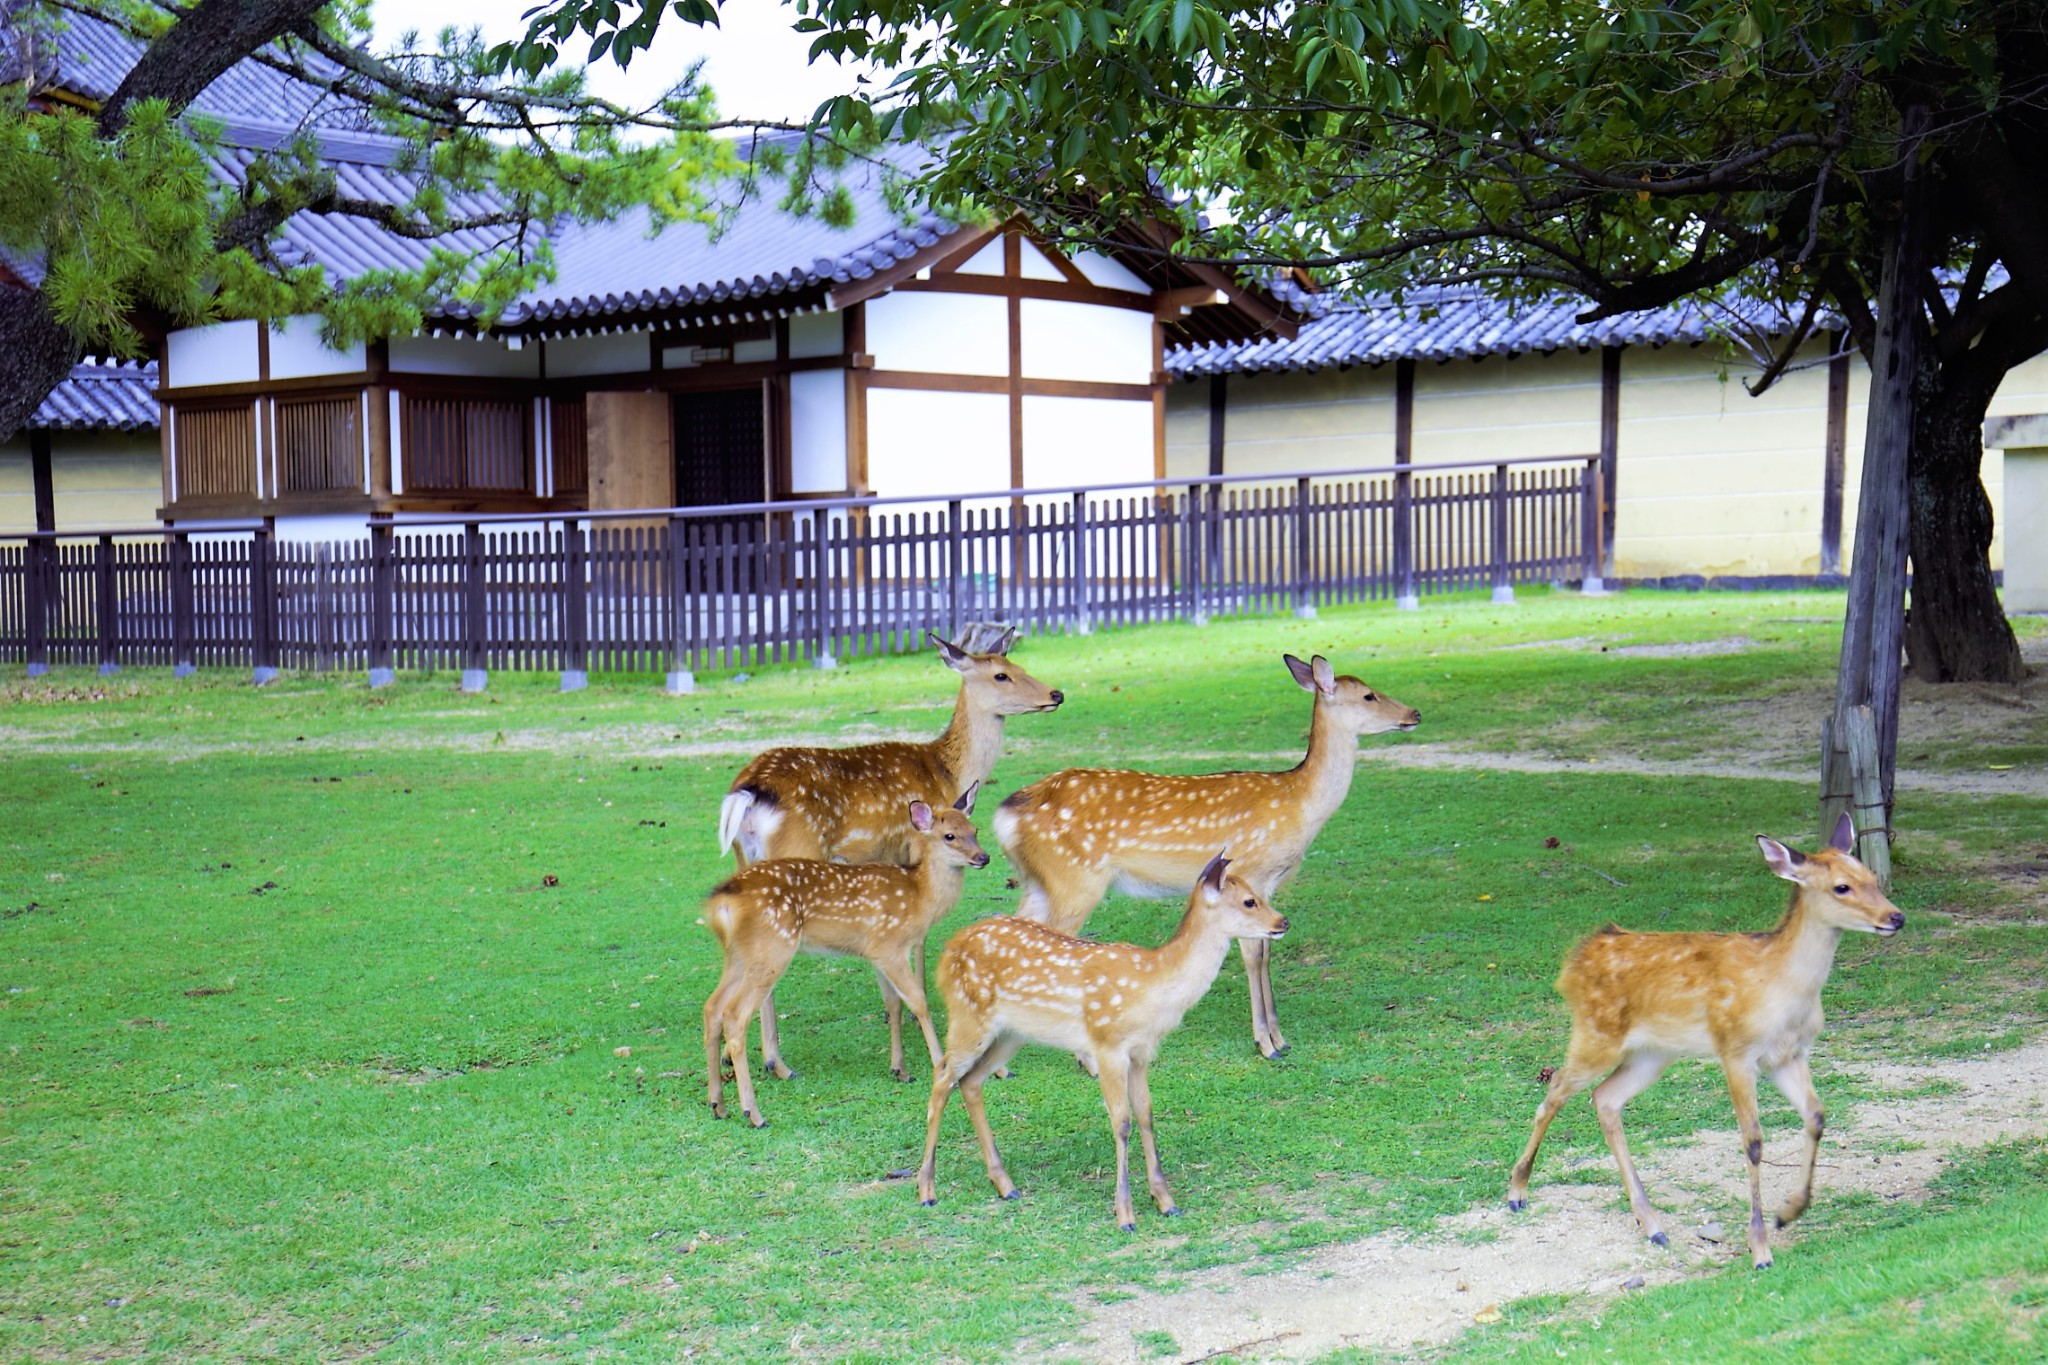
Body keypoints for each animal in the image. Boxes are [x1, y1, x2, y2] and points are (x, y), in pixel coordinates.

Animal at [700, 785, 995, 1129]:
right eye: (949, 835)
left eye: (974, 830)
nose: (983, 857)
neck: (919, 896)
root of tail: (720, 903)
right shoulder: (891, 944)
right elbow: (918, 1001)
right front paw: (938, 1062)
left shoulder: (876, 951)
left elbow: (893, 1004)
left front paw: (900, 1069)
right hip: (771, 947)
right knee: (735, 1015)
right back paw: (754, 1113)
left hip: (738, 955)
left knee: (712, 1007)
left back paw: (718, 1104)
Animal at [921, 855, 1286, 1227]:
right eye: (1249, 901)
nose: (1282, 922)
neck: (1153, 986)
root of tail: (946, 953)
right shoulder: (1107, 1043)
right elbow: (1121, 1121)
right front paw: (1125, 1214)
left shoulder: (1141, 1052)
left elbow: (1146, 1114)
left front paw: (1165, 1201)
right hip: (968, 1016)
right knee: (942, 1076)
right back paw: (927, 1190)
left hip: (1012, 1033)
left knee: (970, 1082)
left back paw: (1005, 1185)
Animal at [995, 654, 1417, 1064]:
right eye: (1369, 695)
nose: (1414, 713)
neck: (1299, 803)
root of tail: (1006, 815)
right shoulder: (1249, 871)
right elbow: (1255, 956)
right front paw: (1267, 1044)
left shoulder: (1267, 889)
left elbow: (1266, 951)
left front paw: (1281, 1039)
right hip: (1075, 878)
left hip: (1039, 881)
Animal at [1507, 810, 1900, 1268]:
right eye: (1841, 886)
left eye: (1871, 876)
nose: (1896, 917)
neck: (1783, 990)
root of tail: (1575, 962)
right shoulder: (1736, 1050)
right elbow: (1753, 1141)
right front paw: (1759, 1248)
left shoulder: (1789, 1054)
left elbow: (1817, 1116)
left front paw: (1789, 1212)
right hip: (1596, 1033)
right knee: (1555, 1088)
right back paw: (1517, 1192)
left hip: (1652, 1054)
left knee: (1604, 1098)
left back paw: (1652, 1224)